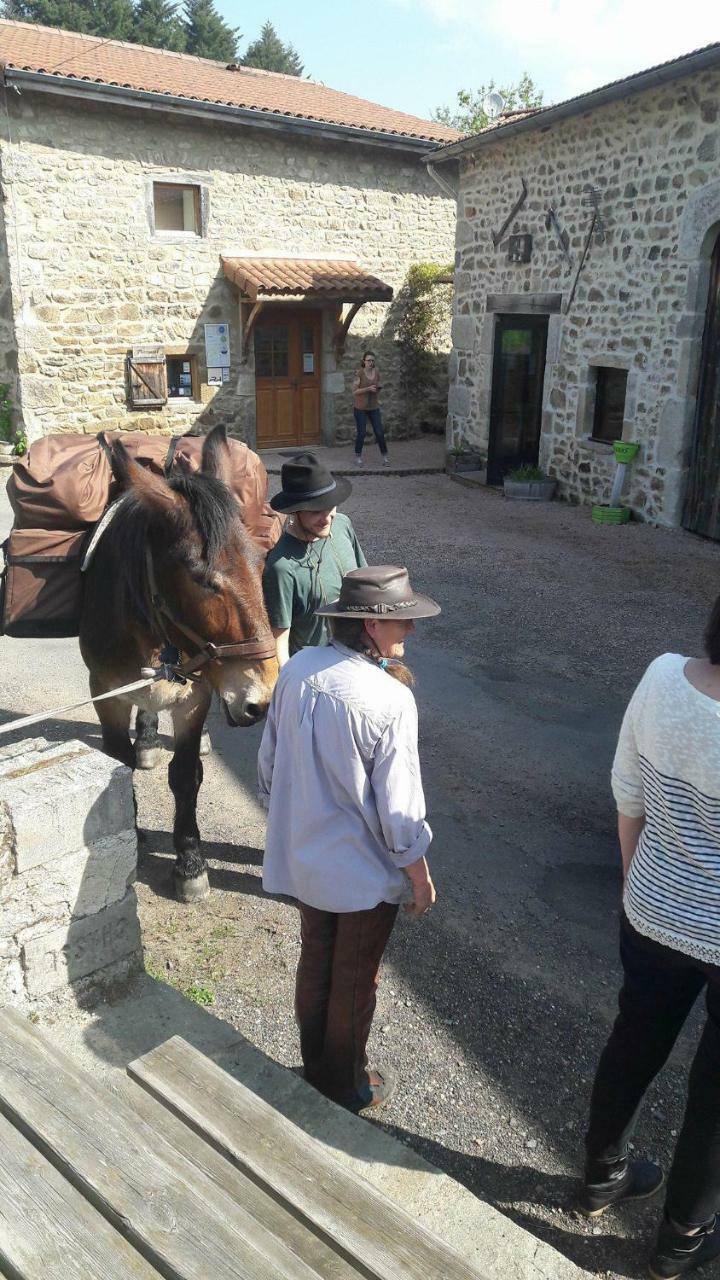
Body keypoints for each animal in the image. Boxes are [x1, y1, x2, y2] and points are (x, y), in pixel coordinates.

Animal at [79, 427, 278, 901]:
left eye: (260, 560)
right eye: (201, 578)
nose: (261, 699)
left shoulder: (195, 696)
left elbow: (187, 776)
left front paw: (189, 861)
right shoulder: (105, 694)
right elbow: (118, 763)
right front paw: (131, 832)